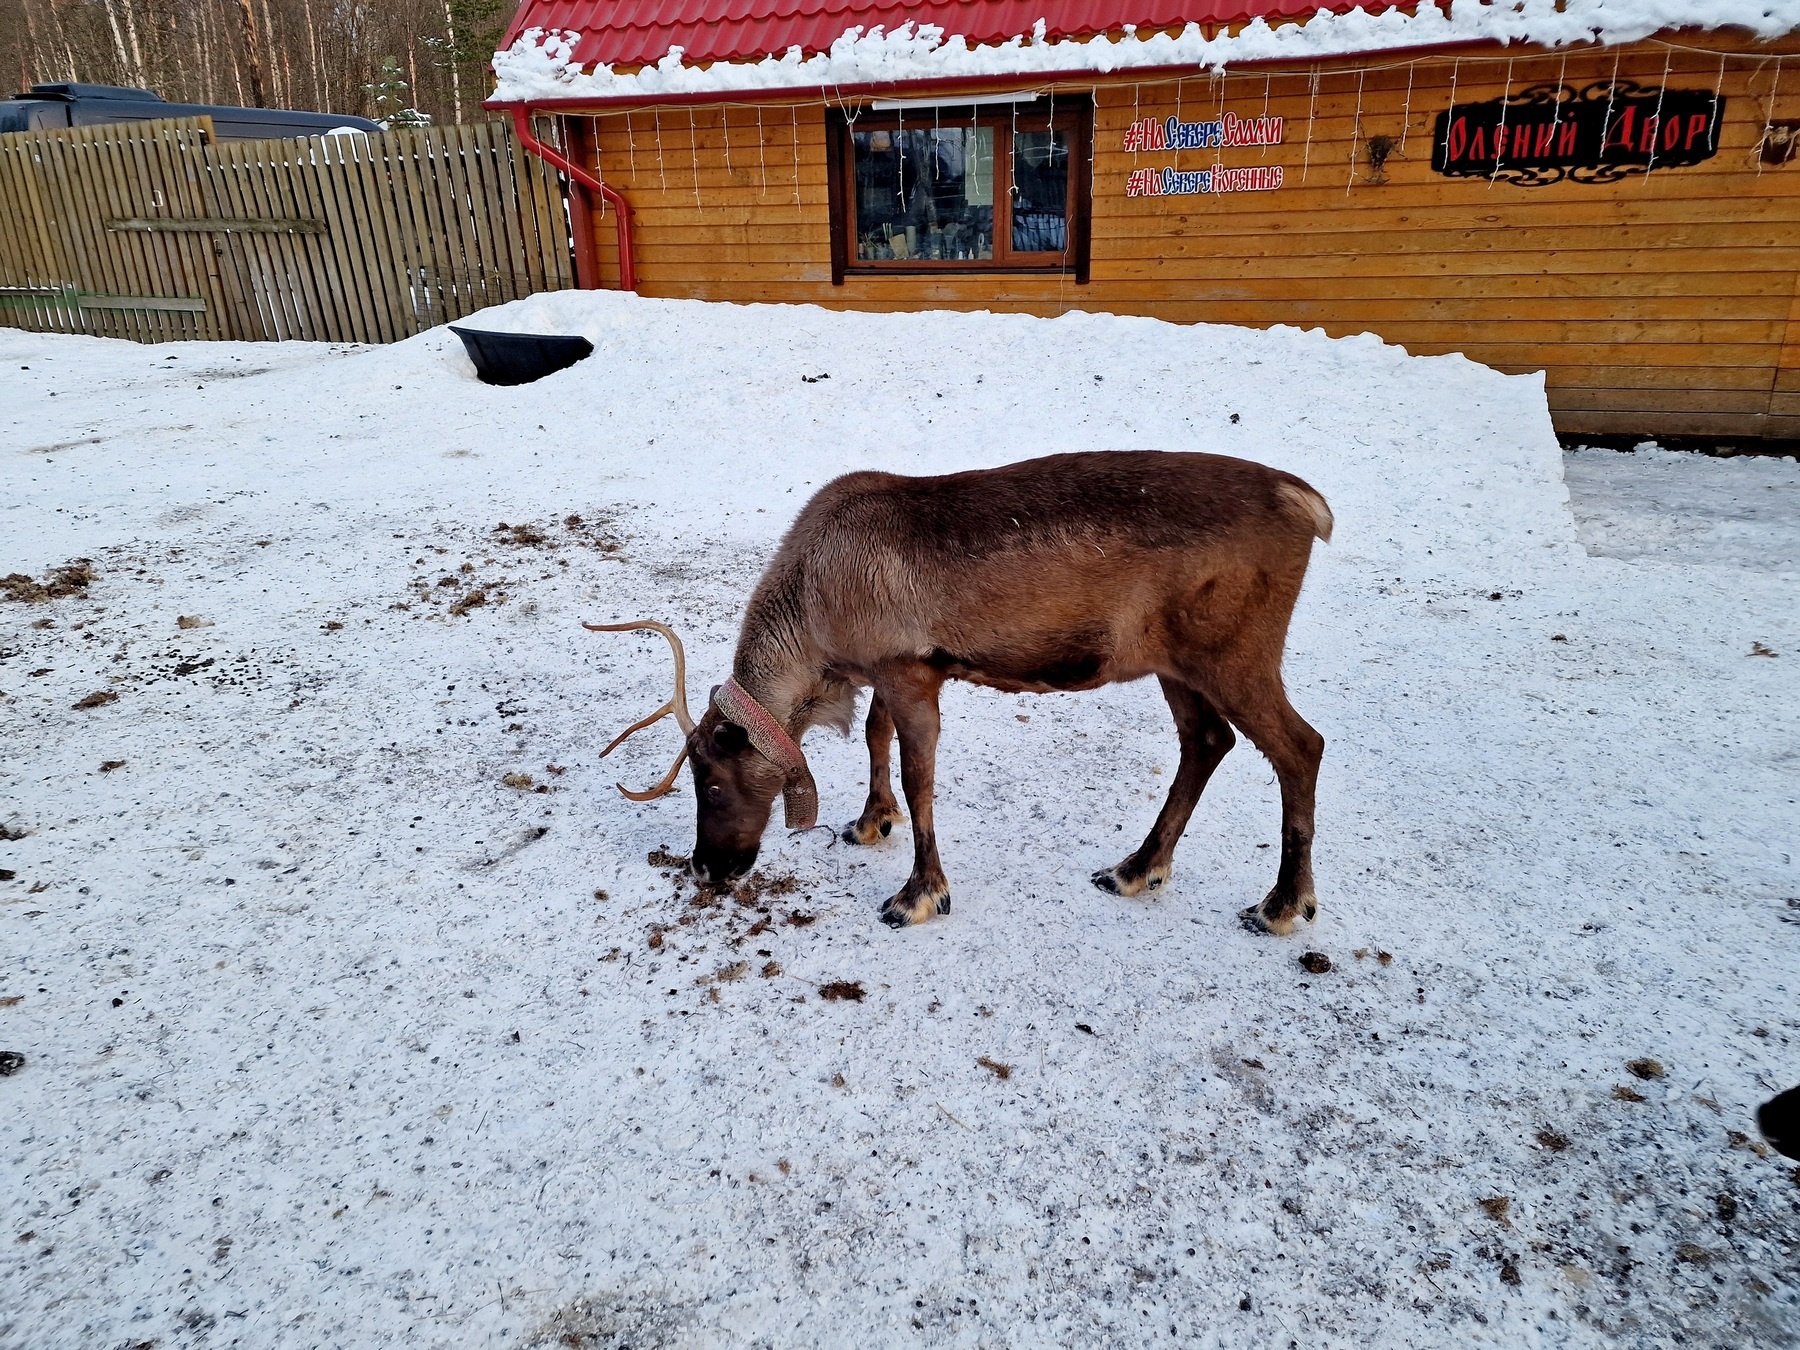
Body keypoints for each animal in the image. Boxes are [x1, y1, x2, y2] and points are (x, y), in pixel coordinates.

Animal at [589, 449, 1332, 934]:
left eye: (712, 782)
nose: (705, 868)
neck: (815, 626)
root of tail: (1308, 502)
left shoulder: (912, 670)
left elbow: (918, 778)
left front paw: (918, 894)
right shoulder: (887, 668)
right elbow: (874, 737)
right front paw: (869, 822)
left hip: (1234, 654)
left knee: (1301, 745)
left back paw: (1282, 905)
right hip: (1173, 663)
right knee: (1207, 741)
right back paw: (1136, 868)